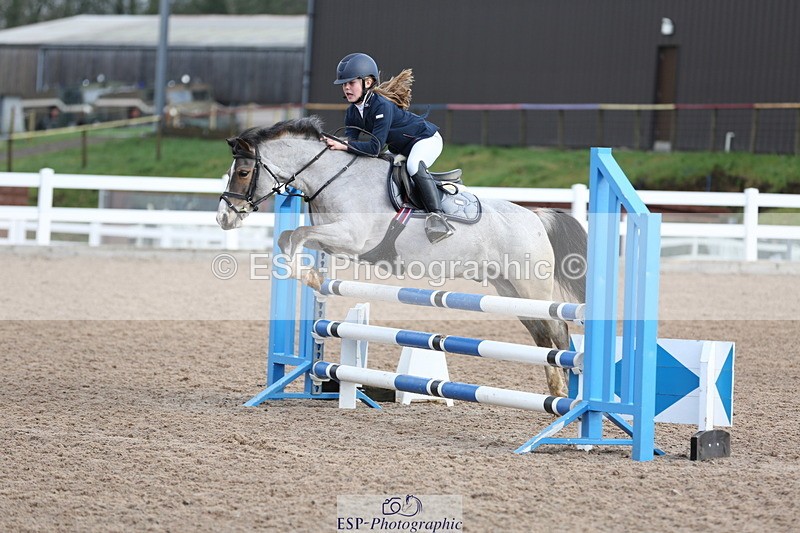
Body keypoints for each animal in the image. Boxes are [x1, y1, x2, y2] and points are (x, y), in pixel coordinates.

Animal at [216, 116, 587, 397]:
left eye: (244, 173)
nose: (224, 218)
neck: (335, 178)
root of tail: (535, 216)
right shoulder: (333, 239)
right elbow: (288, 237)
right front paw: (313, 276)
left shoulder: (351, 237)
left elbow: (295, 236)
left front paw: (310, 276)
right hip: (508, 289)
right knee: (541, 334)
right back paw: (556, 391)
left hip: (531, 286)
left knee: (558, 329)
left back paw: (569, 393)